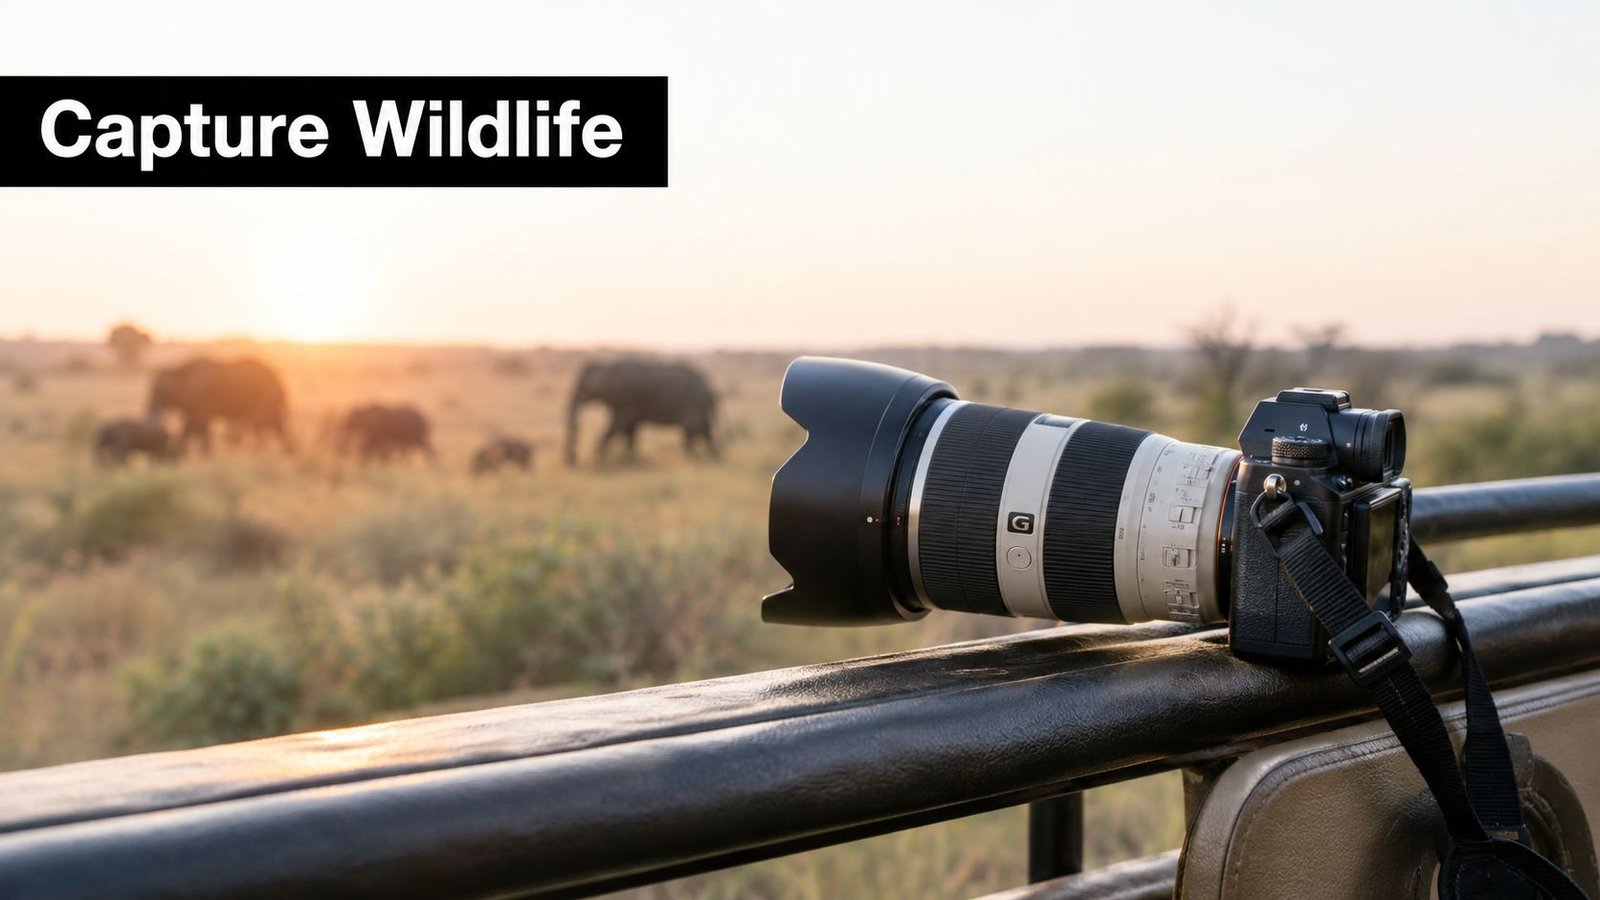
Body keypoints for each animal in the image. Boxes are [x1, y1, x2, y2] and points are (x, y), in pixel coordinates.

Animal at [148, 356, 292, 455]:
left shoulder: (202, 397)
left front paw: (205, 455)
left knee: (264, 424)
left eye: (160, 392)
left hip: (266, 398)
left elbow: (199, 423)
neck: (178, 369)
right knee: (272, 425)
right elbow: (194, 425)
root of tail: (282, 383)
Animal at [565, 358, 718, 465]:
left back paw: (694, 461)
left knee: (693, 430)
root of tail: (709, 390)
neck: (607, 366)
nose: (573, 461)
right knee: (704, 431)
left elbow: (618, 426)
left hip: (693, 404)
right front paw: (630, 460)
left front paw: (598, 462)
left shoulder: (625, 400)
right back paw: (710, 459)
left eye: (583, 388)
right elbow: (629, 431)